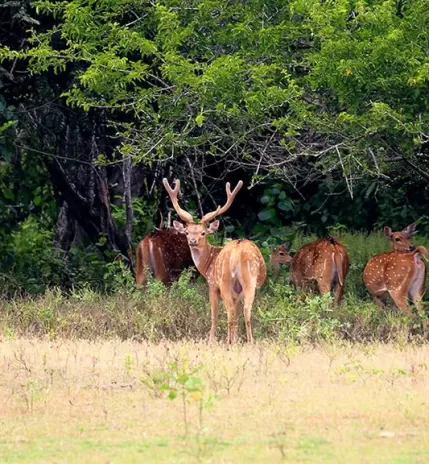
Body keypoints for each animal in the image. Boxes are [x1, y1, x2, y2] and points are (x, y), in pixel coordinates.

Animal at [163, 178, 266, 344]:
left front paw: (211, 340)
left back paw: (228, 342)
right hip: (249, 282)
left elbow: (214, 315)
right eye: (187, 232)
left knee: (230, 312)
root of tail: (237, 253)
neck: (208, 264)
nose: (192, 241)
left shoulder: (212, 284)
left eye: (203, 233)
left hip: (225, 281)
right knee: (245, 311)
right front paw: (236, 339)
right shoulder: (237, 293)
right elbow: (236, 314)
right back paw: (248, 342)